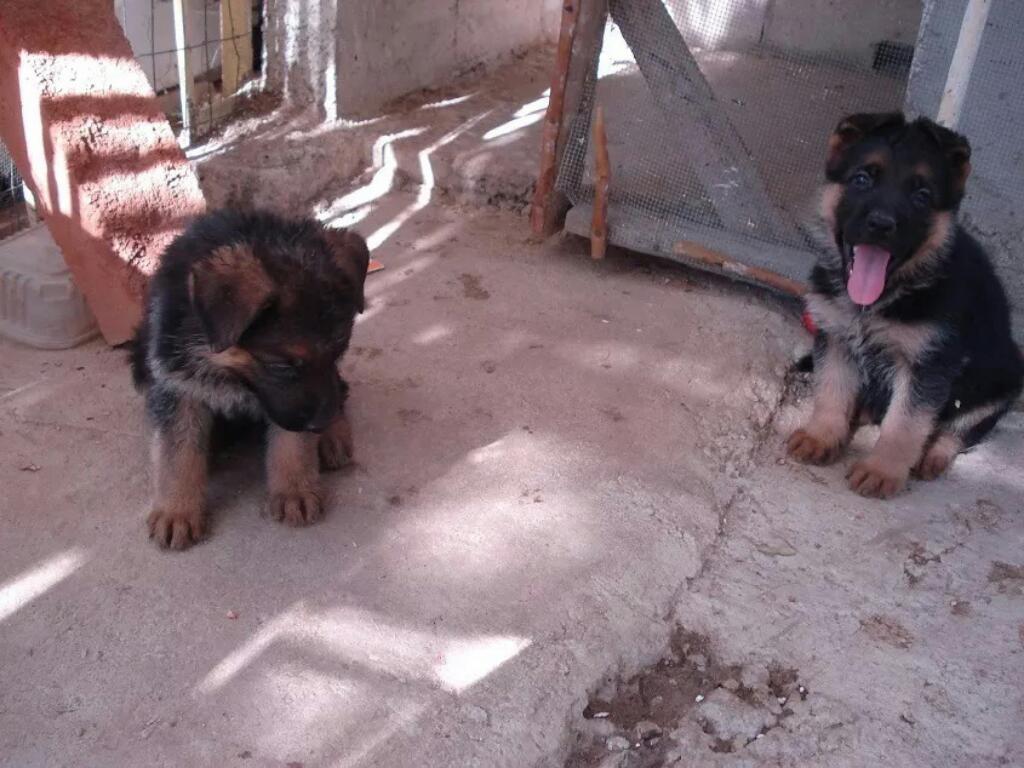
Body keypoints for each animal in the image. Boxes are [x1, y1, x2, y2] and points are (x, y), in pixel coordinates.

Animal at [128, 207, 368, 548]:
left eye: (338, 352)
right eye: (282, 366)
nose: (320, 424)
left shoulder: (291, 402)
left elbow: (291, 440)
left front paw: (293, 489)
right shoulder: (176, 385)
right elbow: (176, 453)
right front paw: (177, 511)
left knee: (342, 392)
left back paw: (334, 436)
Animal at [790, 112, 1024, 499]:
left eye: (922, 196)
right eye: (862, 179)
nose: (881, 224)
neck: (881, 300)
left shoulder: (927, 365)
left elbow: (905, 423)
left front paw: (881, 470)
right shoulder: (835, 337)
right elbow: (831, 390)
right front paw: (821, 436)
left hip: (999, 384)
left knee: (958, 430)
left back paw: (932, 454)